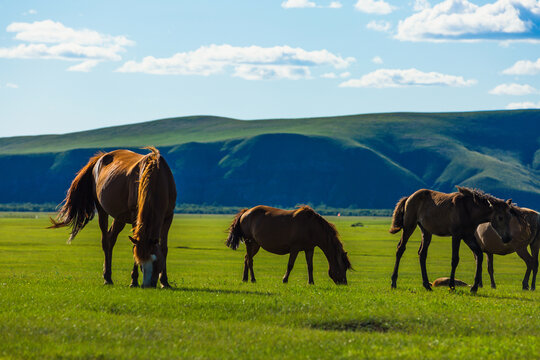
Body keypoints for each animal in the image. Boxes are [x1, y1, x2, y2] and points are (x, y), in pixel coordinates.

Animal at [49, 148, 176, 288]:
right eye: (141, 263)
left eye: (155, 261)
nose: (147, 285)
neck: (158, 177)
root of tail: (100, 158)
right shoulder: (135, 215)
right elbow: (135, 246)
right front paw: (133, 281)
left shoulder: (168, 216)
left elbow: (164, 248)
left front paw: (164, 282)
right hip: (102, 210)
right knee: (105, 241)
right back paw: (107, 278)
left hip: (120, 217)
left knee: (111, 239)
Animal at [388, 187, 516, 294]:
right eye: (500, 217)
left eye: (510, 217)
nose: (507, 238)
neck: (469, 210)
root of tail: (409, 197)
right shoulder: (456, 235)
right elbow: (455, 259)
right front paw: (451, 286)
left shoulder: (468, 236)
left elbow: (479, 255)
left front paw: (474, 287)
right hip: (409, 225)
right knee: (400, 249)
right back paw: (393, 283)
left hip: (426, 231)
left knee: (422, 254)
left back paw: (427, 285)